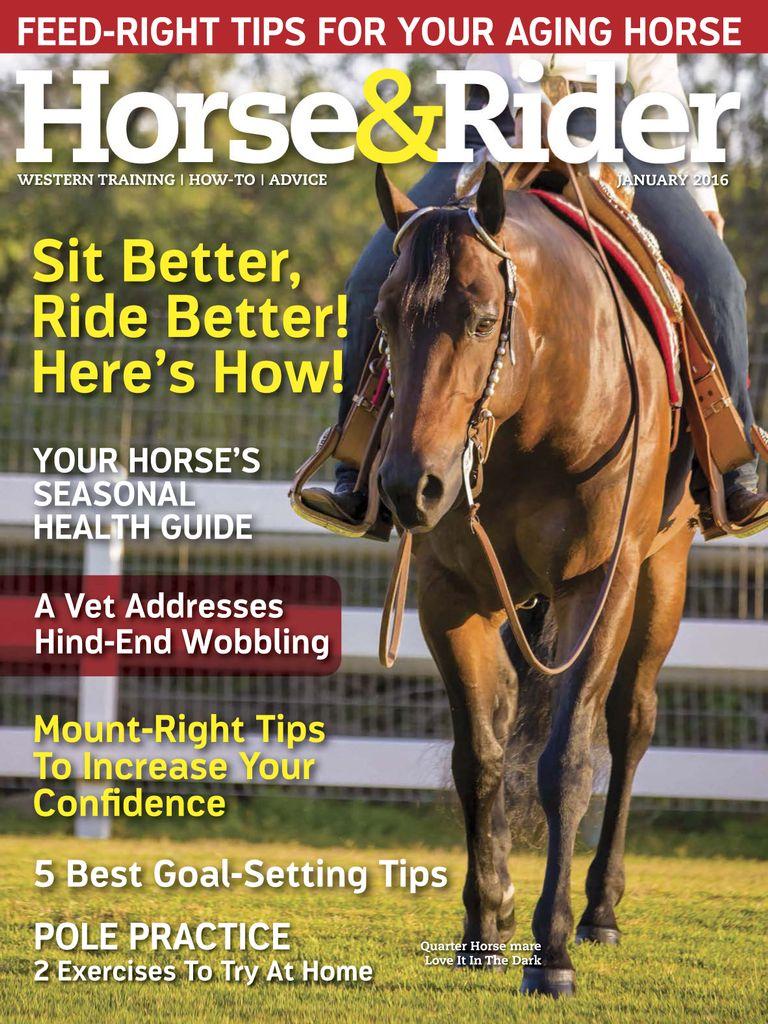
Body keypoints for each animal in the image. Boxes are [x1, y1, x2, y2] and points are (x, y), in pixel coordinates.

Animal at [374, 163, 696, 997]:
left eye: (484, 319)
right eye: (384, 317)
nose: (409, 486)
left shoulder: (599, 585)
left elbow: (566, 763)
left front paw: (550, 953)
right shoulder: (450, 595)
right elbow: (480, 757)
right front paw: (485, 922)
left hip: (663, 575)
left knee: (630, 723)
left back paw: (600, 911)